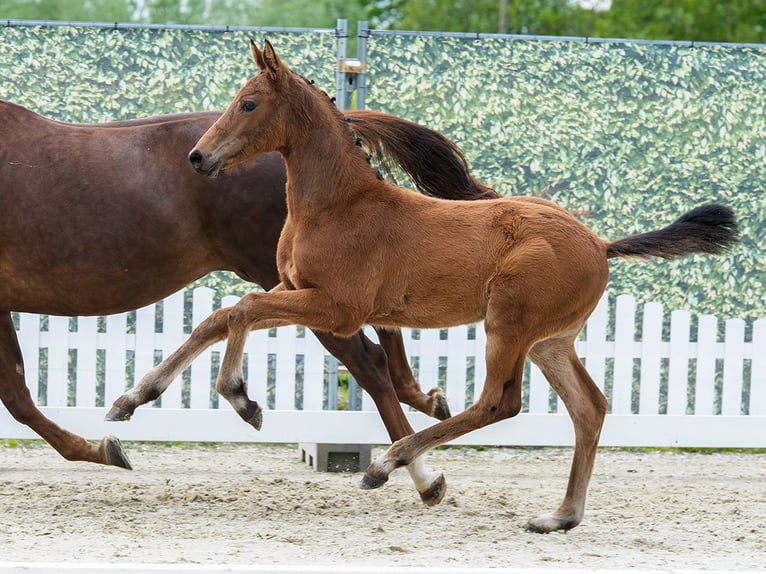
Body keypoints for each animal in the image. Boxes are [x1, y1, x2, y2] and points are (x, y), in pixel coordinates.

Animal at [0, 98, 496, 472]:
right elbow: (17, 392)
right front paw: (103, 446)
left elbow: (17, 398)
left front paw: (101, 449)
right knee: (380, 331)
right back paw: (424, 402)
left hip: (304, 286)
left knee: (368, 360)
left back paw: (411, 465)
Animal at [179, 40, 738, 532]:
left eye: (248, 103)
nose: (198, 157)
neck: (338, 206)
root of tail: (600, 244)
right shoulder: (297, 291)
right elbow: (229, 313)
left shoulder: (339, 308)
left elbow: (244, 307)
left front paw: (242, 399)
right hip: (550, 342)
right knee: (589, 408)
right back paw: (560, 517)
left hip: (508, 325)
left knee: (499, 402)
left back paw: (386, 464)